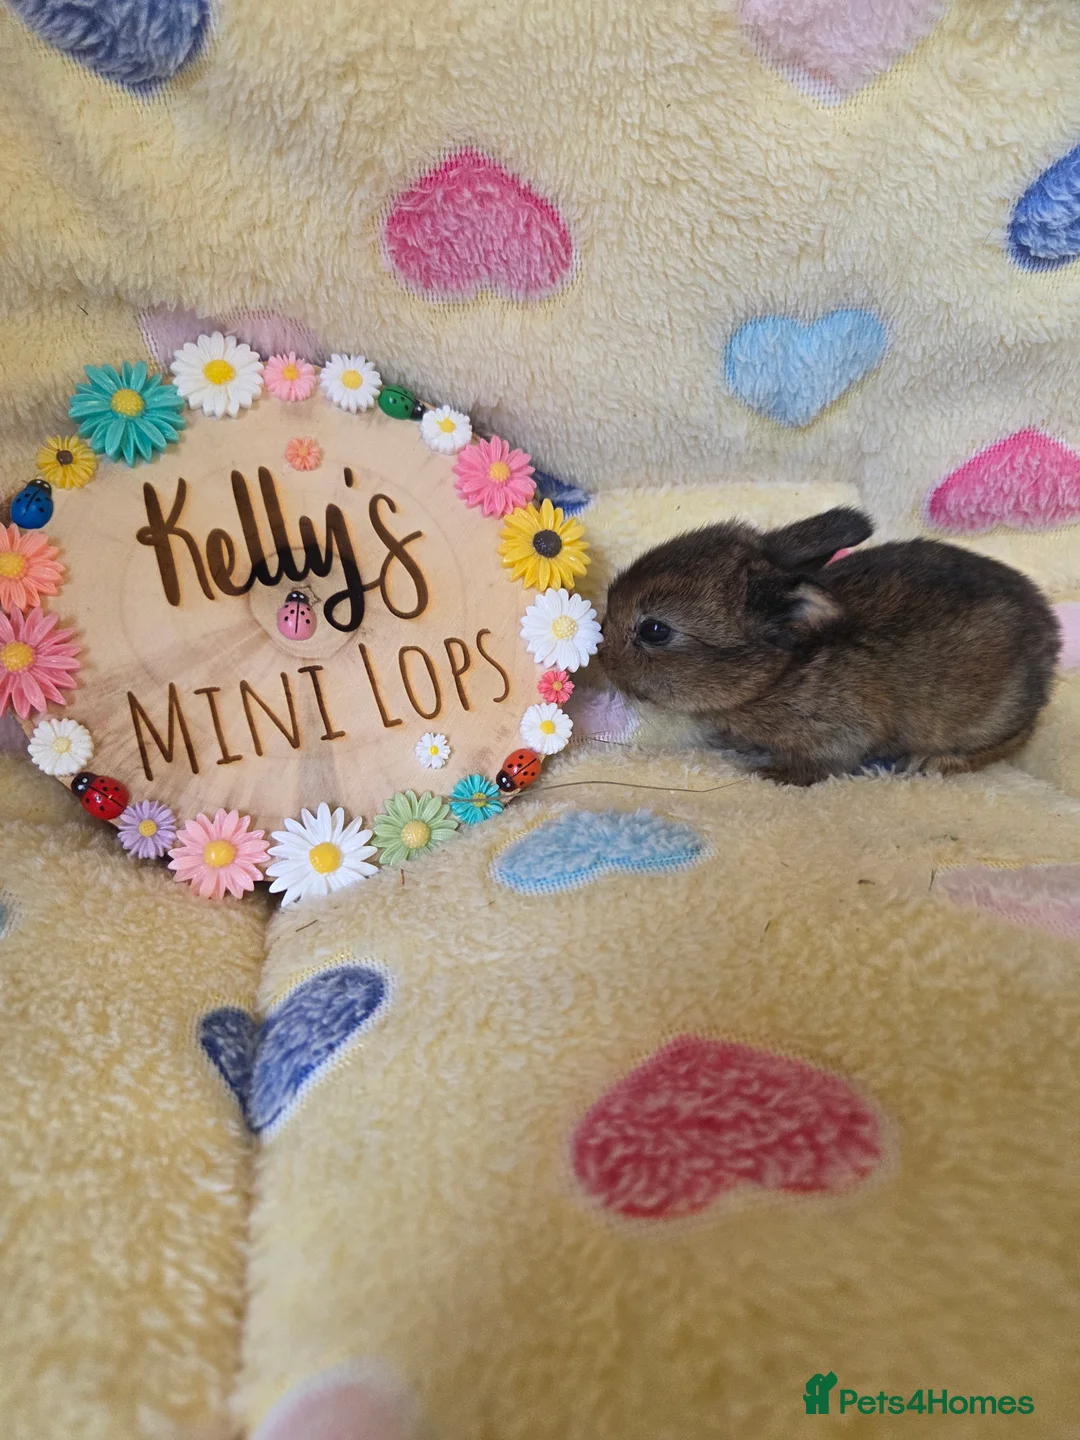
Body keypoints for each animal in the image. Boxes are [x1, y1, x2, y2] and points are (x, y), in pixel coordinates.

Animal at [600, 507, 1061, 785]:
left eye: (654, 630)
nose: (602, 657)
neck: (779, 674)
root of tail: (1051, 635)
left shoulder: (841, 733)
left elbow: (824, 762)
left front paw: (773, 774)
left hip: (987, 714)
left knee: (1014, 737)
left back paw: (933, 763)